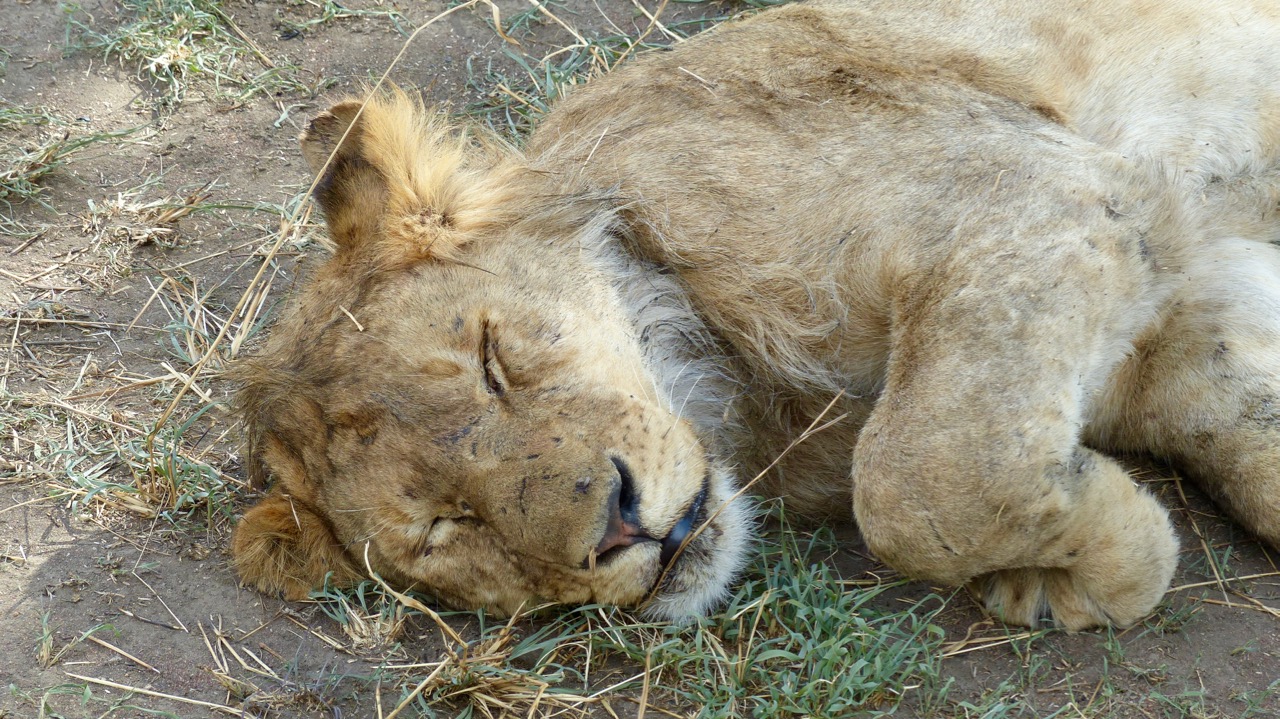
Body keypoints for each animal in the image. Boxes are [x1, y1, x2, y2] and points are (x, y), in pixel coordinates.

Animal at [230, 0, 1280, 626]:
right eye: (447, 528)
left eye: (494, 360)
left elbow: (917, 477)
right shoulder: (1180, 307)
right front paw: (1085, 560)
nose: (620, 531)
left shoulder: (1041, 192)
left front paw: (1105, 544)